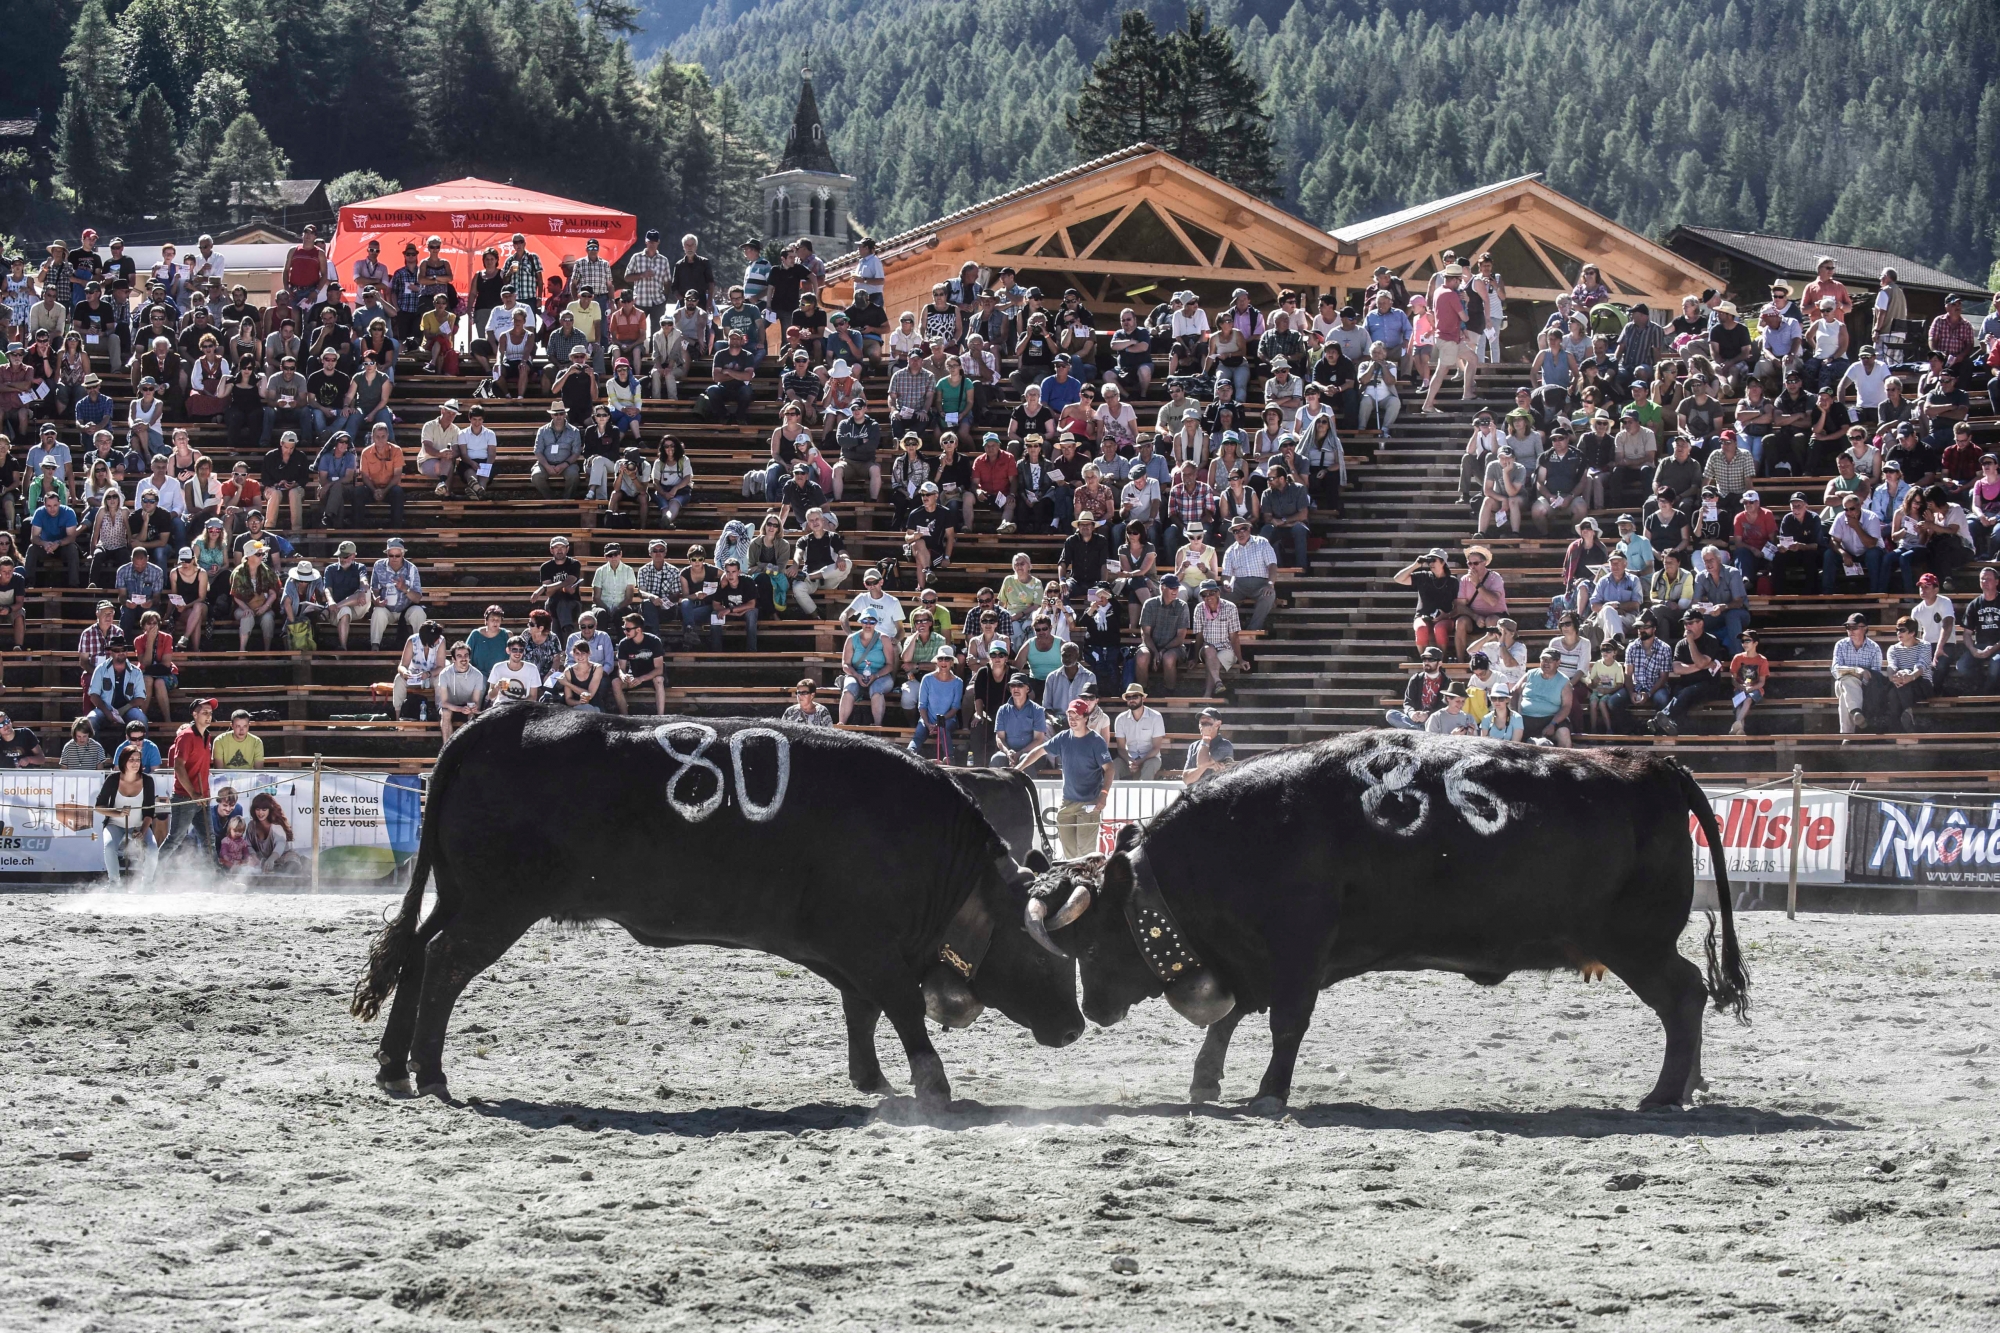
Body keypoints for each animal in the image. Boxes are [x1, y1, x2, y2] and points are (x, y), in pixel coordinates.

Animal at [352, 704, 1088, 1096]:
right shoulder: (871, 946)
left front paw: (870, 1077)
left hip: (459, 894)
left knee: (414, 953)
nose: (1077, 1027)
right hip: (496, 905)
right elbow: (900, 1007)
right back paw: (430, 1069)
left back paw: (393, 1064)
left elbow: (862, 1010)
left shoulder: (851, 951)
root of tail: (509, 716)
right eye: (1041, 954)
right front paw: (931, 1082)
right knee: (444, 962)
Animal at [1032, 732, 1752, 1104]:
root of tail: (1654, 763)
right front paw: (1205, 1080)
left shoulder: (1297, 948)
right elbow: (1231, 1015)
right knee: (1687, 998)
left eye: (1094, 941)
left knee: (1684, 996)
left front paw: (1269, 1092)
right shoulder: (1254, 957)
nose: (1092, 1011)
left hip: (1635, 942)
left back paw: (1665, 1091)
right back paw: (1690, 1083)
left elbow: (1285, 1022)